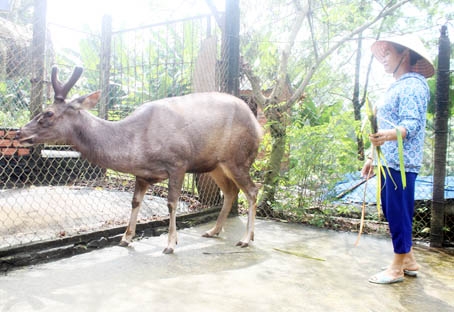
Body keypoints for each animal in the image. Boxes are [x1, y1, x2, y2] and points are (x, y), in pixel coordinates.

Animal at [15, 66, 262, 254]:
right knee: (231, 191)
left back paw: (246, 239)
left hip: (238, 158)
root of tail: (258, 126)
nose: (18, 133)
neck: (137, 144)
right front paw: (125, 238)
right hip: (215, 165)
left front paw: (171, 243)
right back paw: (213, 231)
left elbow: (171, 203)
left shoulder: (178, 162)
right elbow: (135, 202)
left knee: (252, 190)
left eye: (48, 113)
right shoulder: (142, 174)